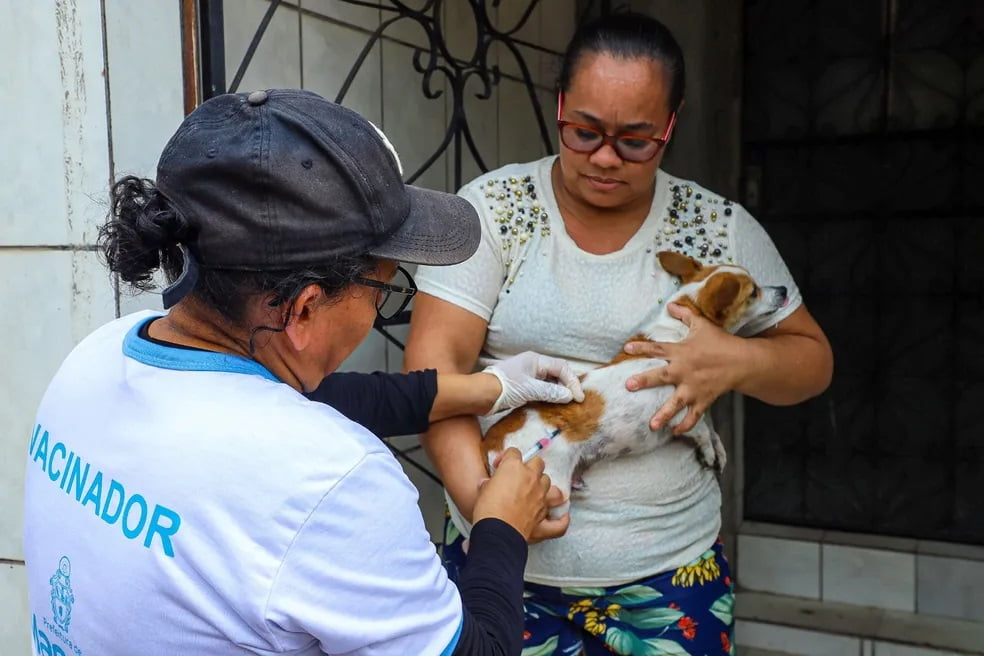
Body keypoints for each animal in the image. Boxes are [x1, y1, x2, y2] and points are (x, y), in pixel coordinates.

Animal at [480, 251, 788, 516]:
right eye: (754, 292)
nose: (784, 289)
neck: (680, 334)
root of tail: (490, 443)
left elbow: (708, 427)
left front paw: (718, 448)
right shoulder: (676, 410)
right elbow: (700, 429)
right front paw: (709, 448)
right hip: (552, 486)